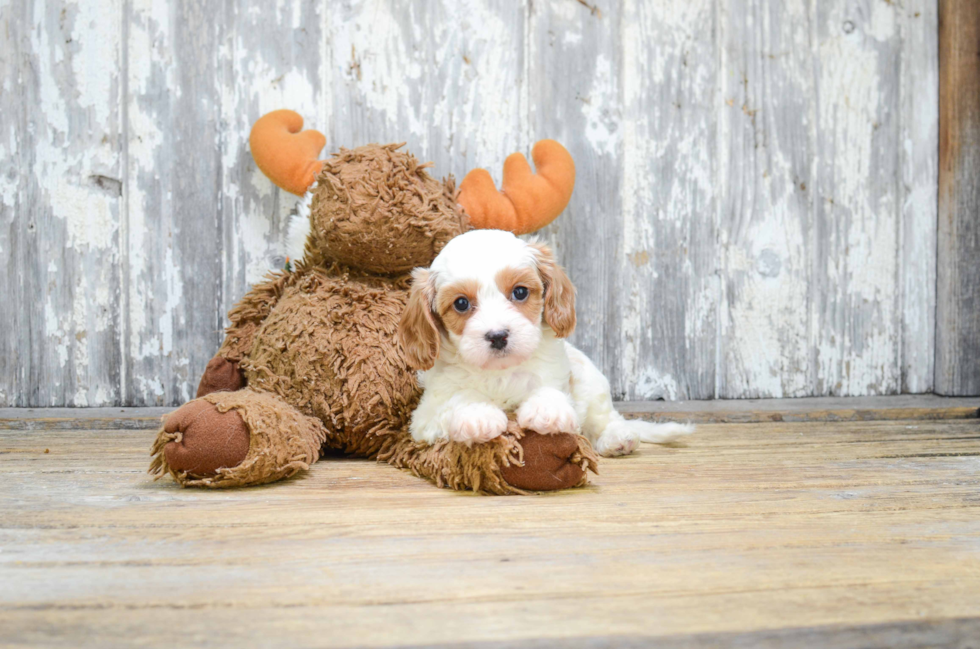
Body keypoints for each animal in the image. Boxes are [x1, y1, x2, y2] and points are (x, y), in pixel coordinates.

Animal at [394, 228, 692, 456]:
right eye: (461, 304)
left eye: (520, 292)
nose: (498, 335)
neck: (501, 372)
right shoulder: (424, 418)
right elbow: (459, 398)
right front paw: (477, 415)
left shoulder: (558, 377)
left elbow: (547, 389)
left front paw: (546, 409)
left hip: (592, 382)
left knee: (606, 418)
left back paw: (617, 438)